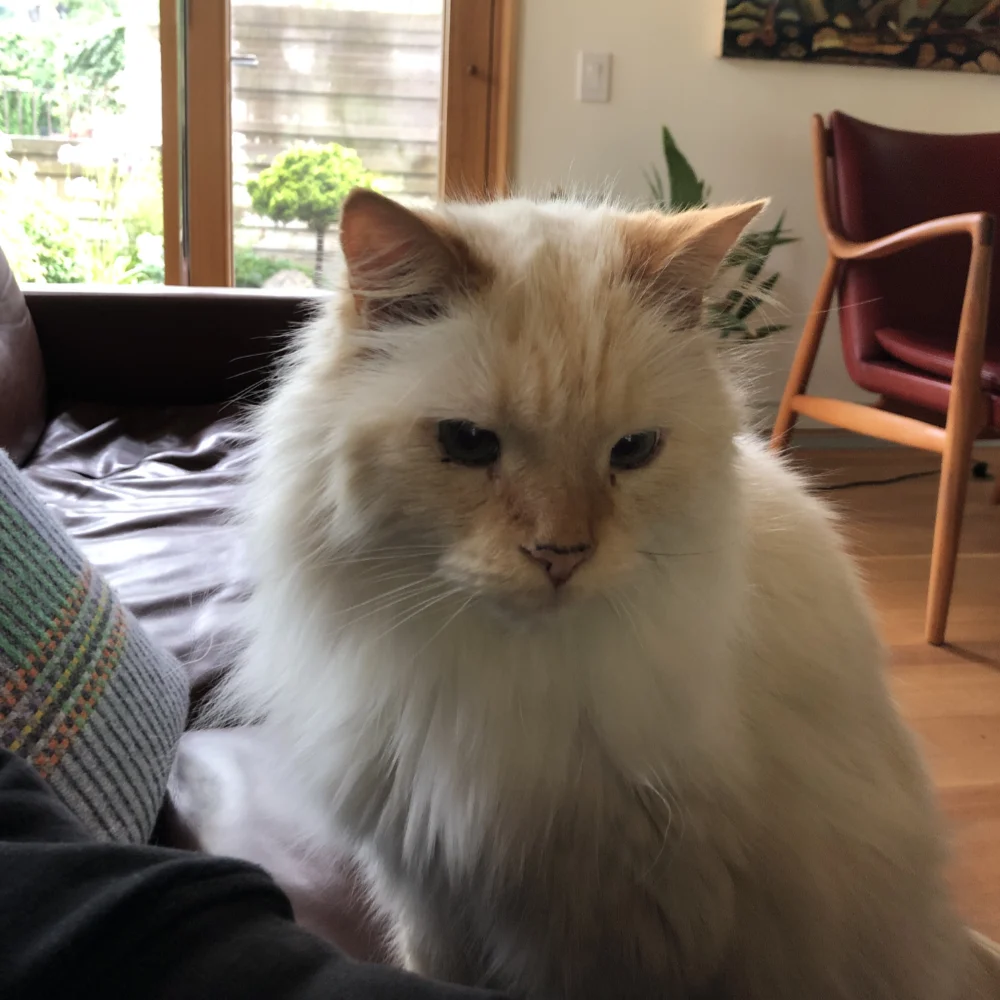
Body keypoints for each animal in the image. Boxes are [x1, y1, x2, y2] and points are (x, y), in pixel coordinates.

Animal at [229, 191, 992, 996]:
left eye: (633, 452)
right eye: (468, 443)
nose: (560, 557)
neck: (505, 679)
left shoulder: (610, 930)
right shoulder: (432, 893)